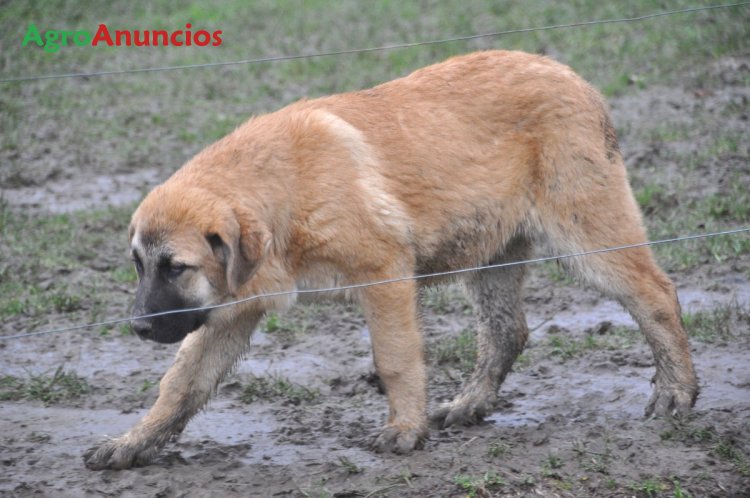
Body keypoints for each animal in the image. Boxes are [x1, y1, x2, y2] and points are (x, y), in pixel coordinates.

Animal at [84, 50, 698, 470]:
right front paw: (133, 443)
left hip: (587, 236)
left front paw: (405, 430)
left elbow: (396, 359)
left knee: (655, 293)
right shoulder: (230, 309)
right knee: (508, 331)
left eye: (175, 267)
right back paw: (468, 405)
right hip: (492, 257)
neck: (286, 189)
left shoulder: (384, 275)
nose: (139, 328)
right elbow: (180, 384)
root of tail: (573, 76)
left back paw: (677, 392)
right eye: (138, 264)